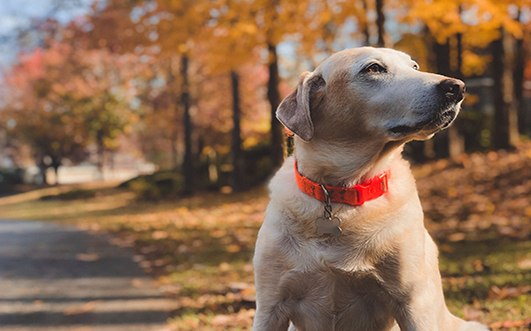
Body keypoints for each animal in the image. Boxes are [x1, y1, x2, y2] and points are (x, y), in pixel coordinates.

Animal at [251, 47, 488, 331]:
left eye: (414, 66)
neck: (341, 191)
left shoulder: (413, 302)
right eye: (373, 68)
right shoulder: (270, 306)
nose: (457, 87)